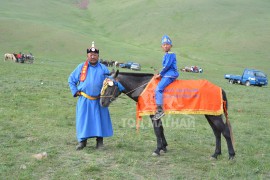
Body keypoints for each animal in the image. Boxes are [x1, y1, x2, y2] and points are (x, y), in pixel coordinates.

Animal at [100, 70, 235, 159]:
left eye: (109, 87)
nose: (102, 102)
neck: (144, 87)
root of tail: (220, 89)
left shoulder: (154, 115)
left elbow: (157, 131)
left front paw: (157, 149)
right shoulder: (157, 116)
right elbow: (161, 130)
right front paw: (164, 147)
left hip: (214, 116)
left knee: (225, 132)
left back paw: (231, 155)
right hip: (210, 114)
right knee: (217, 133)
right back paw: (216, 154)